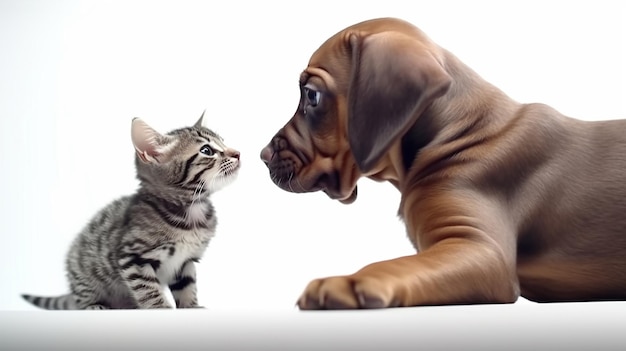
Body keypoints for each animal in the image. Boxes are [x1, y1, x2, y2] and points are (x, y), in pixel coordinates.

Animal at [20, 113, 239, 310]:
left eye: (223, 142)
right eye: (207, 150)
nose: (237, 153)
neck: (191, 210)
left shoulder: (185, 262)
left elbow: (187, 286)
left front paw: (191, 307)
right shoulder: (132, 258)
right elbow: (149, 291)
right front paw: (161, 309)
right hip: (83, 272)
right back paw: (95, 306)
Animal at [258, 18, 624, 310]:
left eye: (311, 95)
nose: (262, 156)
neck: (460, 133)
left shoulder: (479, 249)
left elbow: (401, 265)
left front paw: (349, 281)